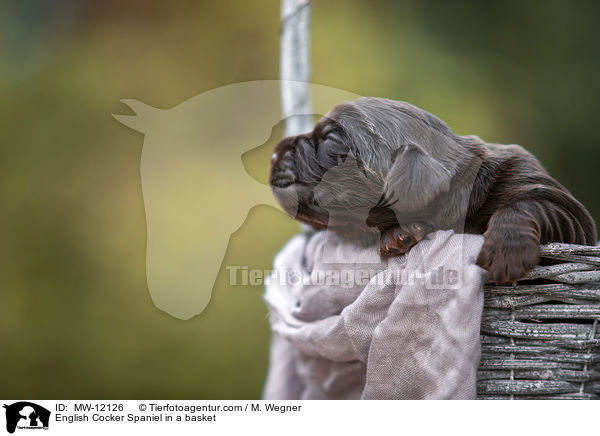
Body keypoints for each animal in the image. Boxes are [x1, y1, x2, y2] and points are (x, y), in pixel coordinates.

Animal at [270, 97, 596, 282]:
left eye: (330, 140)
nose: (273, 153)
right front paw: (398, 234)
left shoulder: (563, 208)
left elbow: (524, 204)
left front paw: (506, 249)